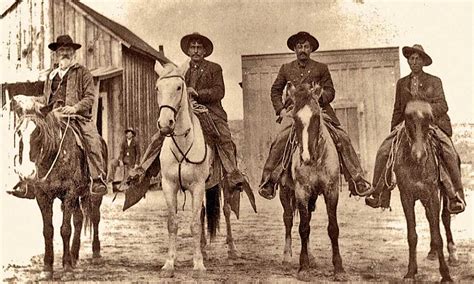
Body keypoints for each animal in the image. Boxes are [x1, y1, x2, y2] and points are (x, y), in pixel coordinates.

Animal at [9, 95, 103, 280]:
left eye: (38, 132)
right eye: (19, 132)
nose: (27, 172)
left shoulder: (69, 193)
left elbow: (65, 229)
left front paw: (66, 268)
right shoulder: (42, 196)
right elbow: (48, 230)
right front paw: (47, 268)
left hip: (93, 195)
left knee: (95, 218)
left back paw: (95, 254)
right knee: (79, 219)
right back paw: (74, 256)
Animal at [156, 63, 213, 276]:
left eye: (179, 87)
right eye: (157, 88)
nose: (165, 124)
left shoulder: (198, 187)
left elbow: (195, 225)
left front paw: (198, 264)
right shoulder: (168, 186)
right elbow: (173, 224)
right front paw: (169, 263)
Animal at [278, 83, 344, 280]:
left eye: (316, 117)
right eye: (295, 118)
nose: (306, 157)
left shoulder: (331, 190)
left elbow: (333, 228)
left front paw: (339, 268)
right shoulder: (301, 191)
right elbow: (303, 228)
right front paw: (303, 267)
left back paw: (312, 257)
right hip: (286, 192)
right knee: (288, 219)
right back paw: (287, 257)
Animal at [394, 100, 454, 282]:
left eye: (429, 119)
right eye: (408, 118)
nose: (419, 155)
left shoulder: (433, 195)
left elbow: (438, 235)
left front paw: (446, 274)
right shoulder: (406, 197)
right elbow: (412, 236)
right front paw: (410, 272)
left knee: (445, 218)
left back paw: (452, 254)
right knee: (430, 219)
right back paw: (432, 252)